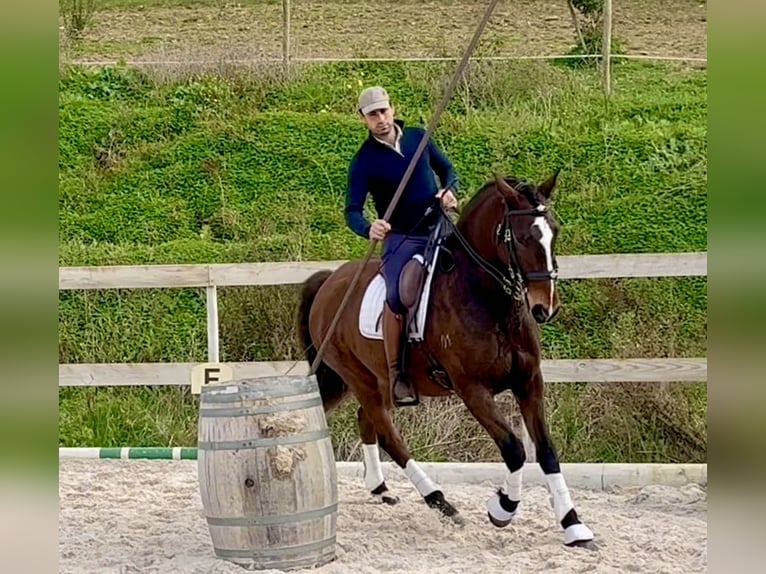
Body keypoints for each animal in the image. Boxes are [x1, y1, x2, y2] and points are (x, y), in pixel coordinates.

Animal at [296, 172, 596, 548]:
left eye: (554, 231)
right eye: (523, 237)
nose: (546, 307)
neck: (490, 303)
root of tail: (328, 282)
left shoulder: (529, 382)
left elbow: (545, 451)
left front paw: (572, 523)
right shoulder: (473, 389)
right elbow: (514, 449)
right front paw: (502, 507)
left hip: (375, 380)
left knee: (368, 420)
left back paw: (380, 489)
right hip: (357, 377)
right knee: (389, 436)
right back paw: (440, 501)